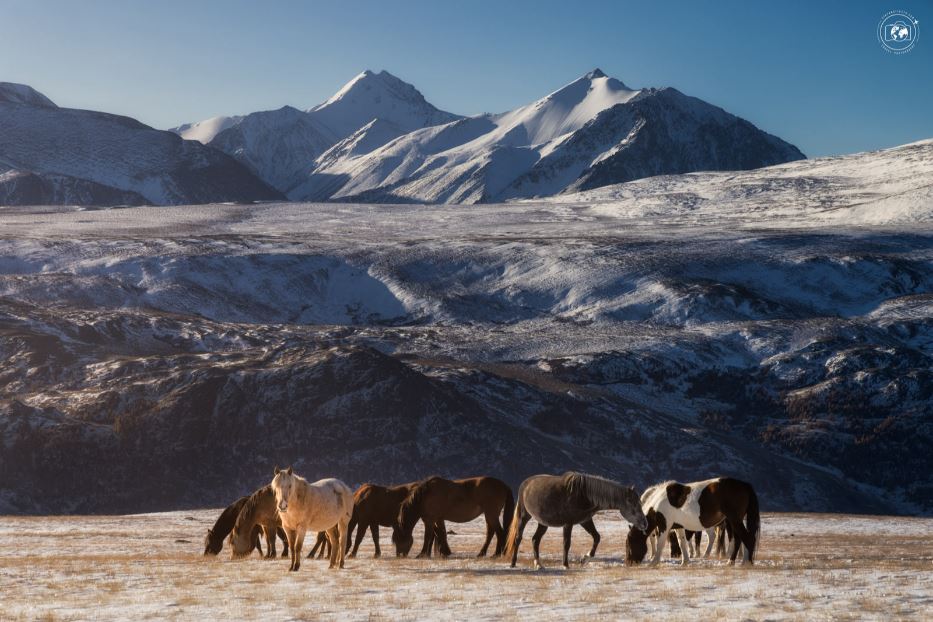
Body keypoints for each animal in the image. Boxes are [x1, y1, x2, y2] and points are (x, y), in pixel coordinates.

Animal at [502, 472, 648, 572]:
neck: (583, 494)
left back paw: (538, 564)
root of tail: (525, 484)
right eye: (633, 503)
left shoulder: (585, 521)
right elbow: (567, 544)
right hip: (523, 517)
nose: (644, 523)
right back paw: (513, 563)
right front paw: (565, 565)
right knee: (518, 538)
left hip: (543, 522)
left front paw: (585, 558)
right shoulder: (568, 524)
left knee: (535, 540)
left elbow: (597, 537)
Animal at [628, 478, 756, 572]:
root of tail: (745, 485)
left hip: (734, 521)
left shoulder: (664, 525)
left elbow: (660, 544)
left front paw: (653, 563)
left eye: (630, 543)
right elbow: (682, 542)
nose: (629, 563)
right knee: (739, 539)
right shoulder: (678, 527)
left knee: (745, 538)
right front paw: (685, 562)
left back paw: (745, 562)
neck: (659, 501)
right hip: (735, 522)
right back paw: (735, 561)